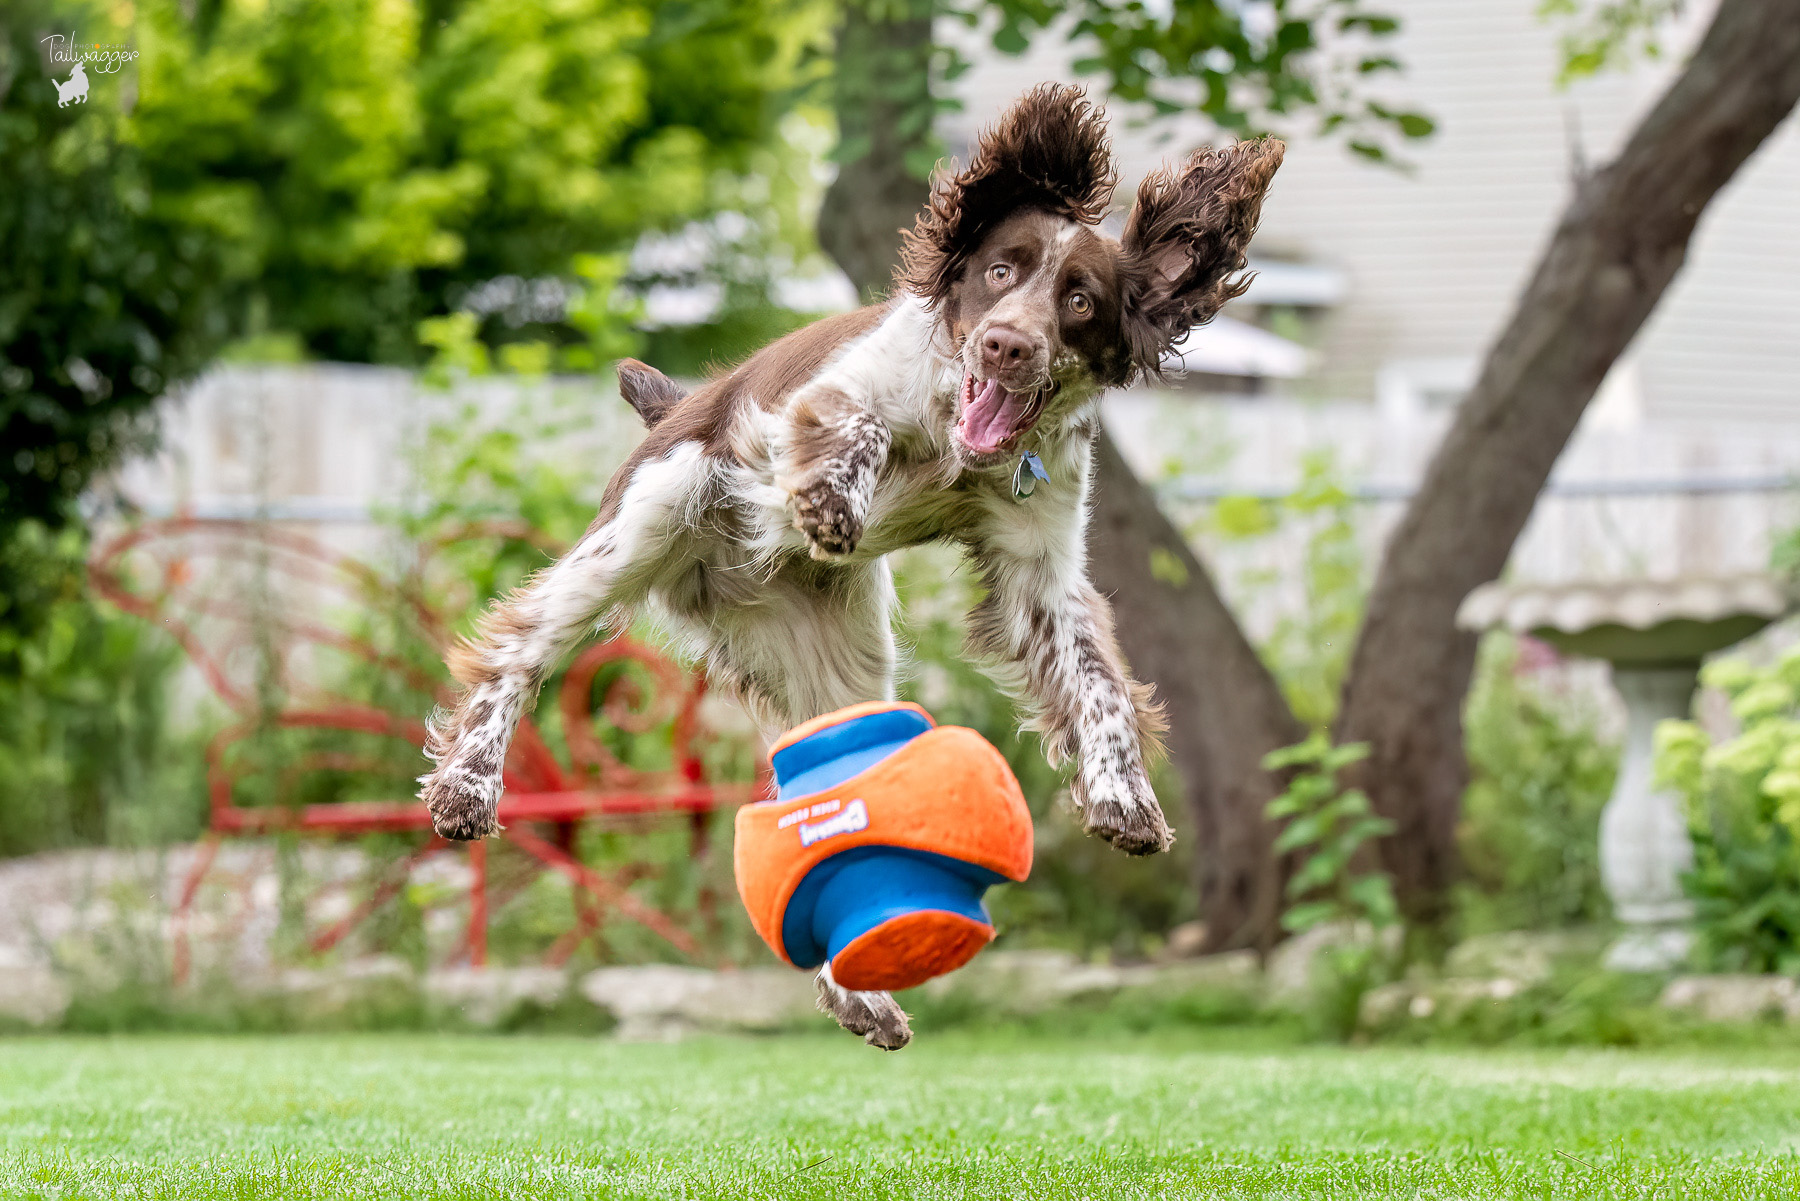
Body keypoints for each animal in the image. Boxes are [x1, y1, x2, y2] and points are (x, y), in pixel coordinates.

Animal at [421, 84, 1288, 1044]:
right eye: (999, 271)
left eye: (1080, 299)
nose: (1006, 346)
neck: (962, 441)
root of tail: (676, 404)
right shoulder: (822, 401)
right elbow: (850, 422)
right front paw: (834, 497)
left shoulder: (1041, 567)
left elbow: (1097, 684)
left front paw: (1125, 797)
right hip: (639, 528)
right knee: (517, 652)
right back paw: (467, 787)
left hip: (841, 668)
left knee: (823, 804)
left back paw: (861, 990)